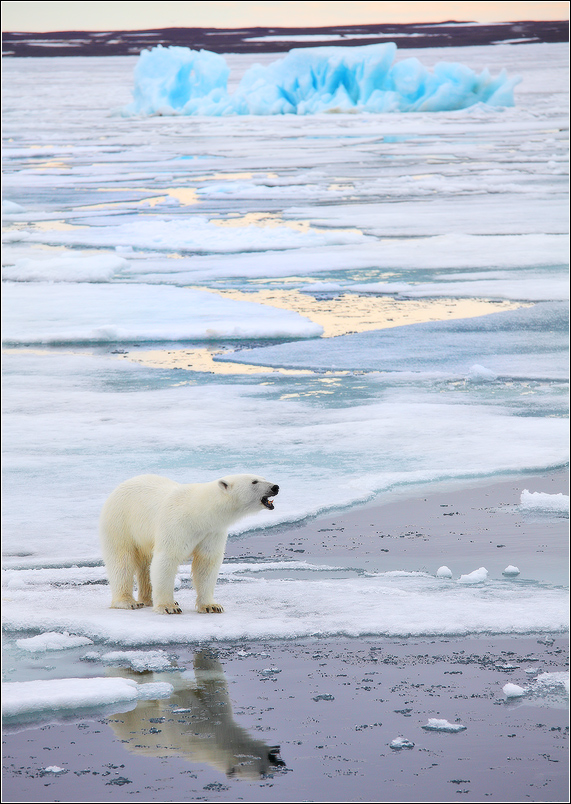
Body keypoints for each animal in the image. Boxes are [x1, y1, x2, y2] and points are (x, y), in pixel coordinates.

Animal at [100, 472, 280, 616]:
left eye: (264, 478)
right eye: (254, 482)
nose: (275, 487)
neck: (198, 513)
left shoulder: (212, 532)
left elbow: (206, 563)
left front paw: (211, 606)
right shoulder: (176, 525)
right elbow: (166, 559)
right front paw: (168, 607)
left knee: (144, 564)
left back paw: (148, 599)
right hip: (121, 522)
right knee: (121, 561)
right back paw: (128, 601)